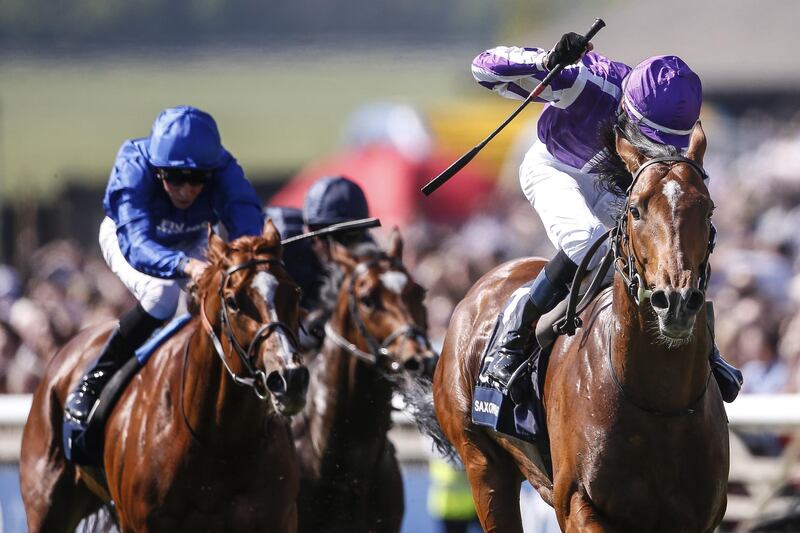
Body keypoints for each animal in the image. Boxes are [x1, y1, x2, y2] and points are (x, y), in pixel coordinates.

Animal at [21, 218, 310, 528]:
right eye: (233, 301)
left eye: (296, 293)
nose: (290, 378)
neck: (221, 442)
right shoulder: (140, 522)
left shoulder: (278, 518)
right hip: (46, 504)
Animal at [434, 122, 728, 528]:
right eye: (635, 209)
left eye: (708, 208)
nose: (677, 302)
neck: (659, 402)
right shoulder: (576, 503)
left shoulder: (700, 516)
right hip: (481, 462)